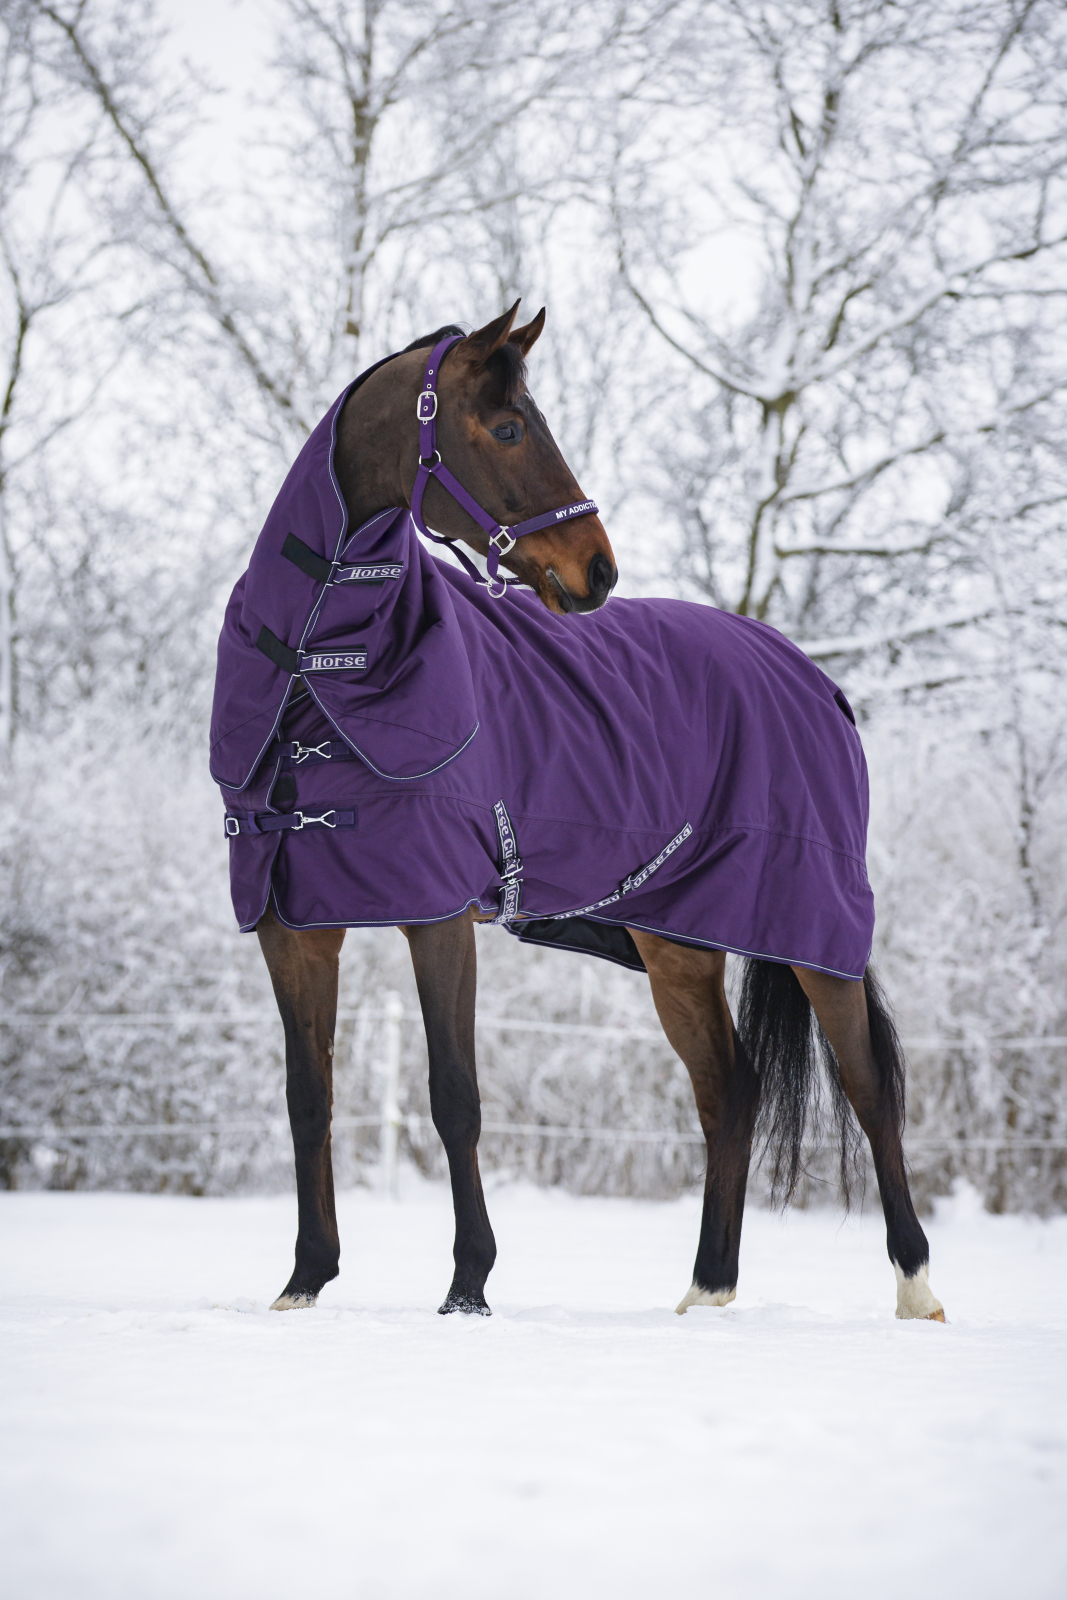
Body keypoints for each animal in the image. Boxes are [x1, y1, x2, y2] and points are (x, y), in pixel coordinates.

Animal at [211, 302, 944, 1323]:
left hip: (812, 929)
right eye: (509, 427)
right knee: (728, 1092)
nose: (595, 570)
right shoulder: (293, 925)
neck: (318, 674)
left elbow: (454, 1095)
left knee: (869, 1089)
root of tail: (814, 682)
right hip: (676, 943)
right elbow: (306, 1097)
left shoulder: (439, 915)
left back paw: (915, 1289)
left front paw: (468, 1285)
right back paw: (705, 1292)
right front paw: (305, 1281)